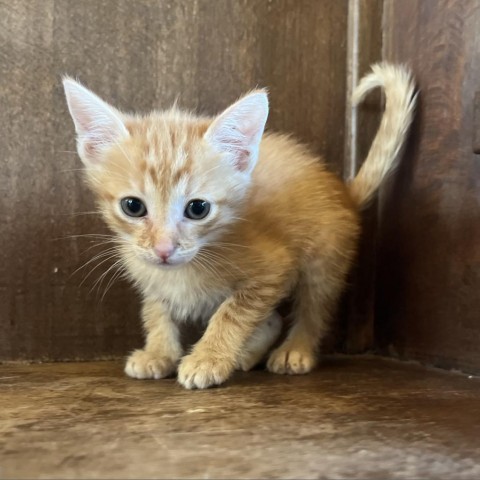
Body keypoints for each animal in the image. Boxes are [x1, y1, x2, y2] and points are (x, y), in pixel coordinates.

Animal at [62, 62, 416, 388]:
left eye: (198, 209)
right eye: (133, 206)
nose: (164, 249)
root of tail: (344, 192)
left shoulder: (272, 269)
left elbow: (232, 313)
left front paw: (208, 359)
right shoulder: (149, 274)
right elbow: (156, 309)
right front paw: (159, 352)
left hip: (324, 258)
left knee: (314, 306)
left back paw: (295, 349)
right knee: (273, 319)